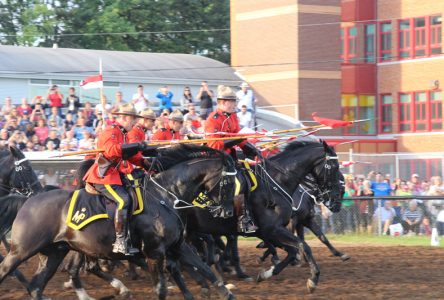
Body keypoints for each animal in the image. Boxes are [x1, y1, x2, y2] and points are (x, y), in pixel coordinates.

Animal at [0, 144, 239, 298]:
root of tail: (30, 199)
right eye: (229, 181)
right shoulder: (154, 252)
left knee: (37, 286)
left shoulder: (178, 247)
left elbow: (207, 271)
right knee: (7, 270)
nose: (227, 212)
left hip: (55, 252)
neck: (165, 195)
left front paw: (225, 291)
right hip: (22, 250)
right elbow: (161, 288)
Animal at [182, 141, 342, 292]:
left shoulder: (272, 230)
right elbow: (304, 246)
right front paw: (313, 279)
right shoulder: (273, 229)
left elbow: (294, 249)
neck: (275, 183)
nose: (334, 201)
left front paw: (266, 273)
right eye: (335, 166)